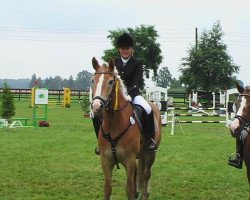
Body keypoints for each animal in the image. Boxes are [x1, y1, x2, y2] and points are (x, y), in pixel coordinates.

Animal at [91, 57, 161, 199]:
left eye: (111, 81)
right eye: (92, 81)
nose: (96, 107)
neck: (114, 124)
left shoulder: (129, 160)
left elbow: (129, 189)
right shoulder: (106, 160)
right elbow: (107, 188)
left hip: (151, 153)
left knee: (146, 175)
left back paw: (144, 194)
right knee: (138, 175)